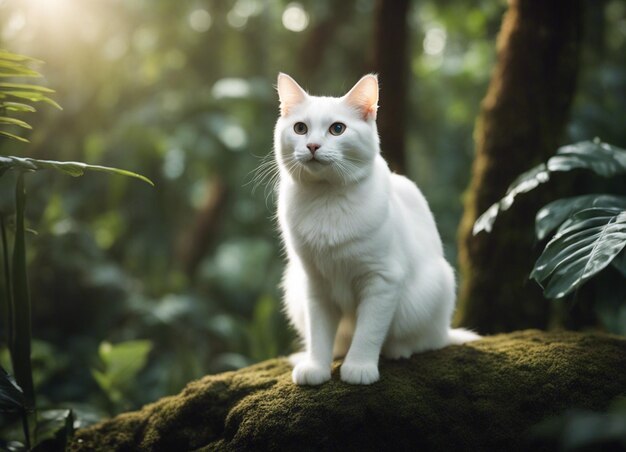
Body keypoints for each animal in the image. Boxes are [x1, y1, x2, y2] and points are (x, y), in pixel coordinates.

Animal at [272, 74, 478, 384]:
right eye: (300, 128)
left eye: (337, 129)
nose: (312, 146)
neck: (327, 199)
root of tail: (444, 330)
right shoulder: (315, 285)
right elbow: (319, 333)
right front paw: (317, 367)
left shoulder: (382, 280)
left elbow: (368, 332)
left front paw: (359, 368)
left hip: (432, 290)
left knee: (425, 341)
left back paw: (398, 350)